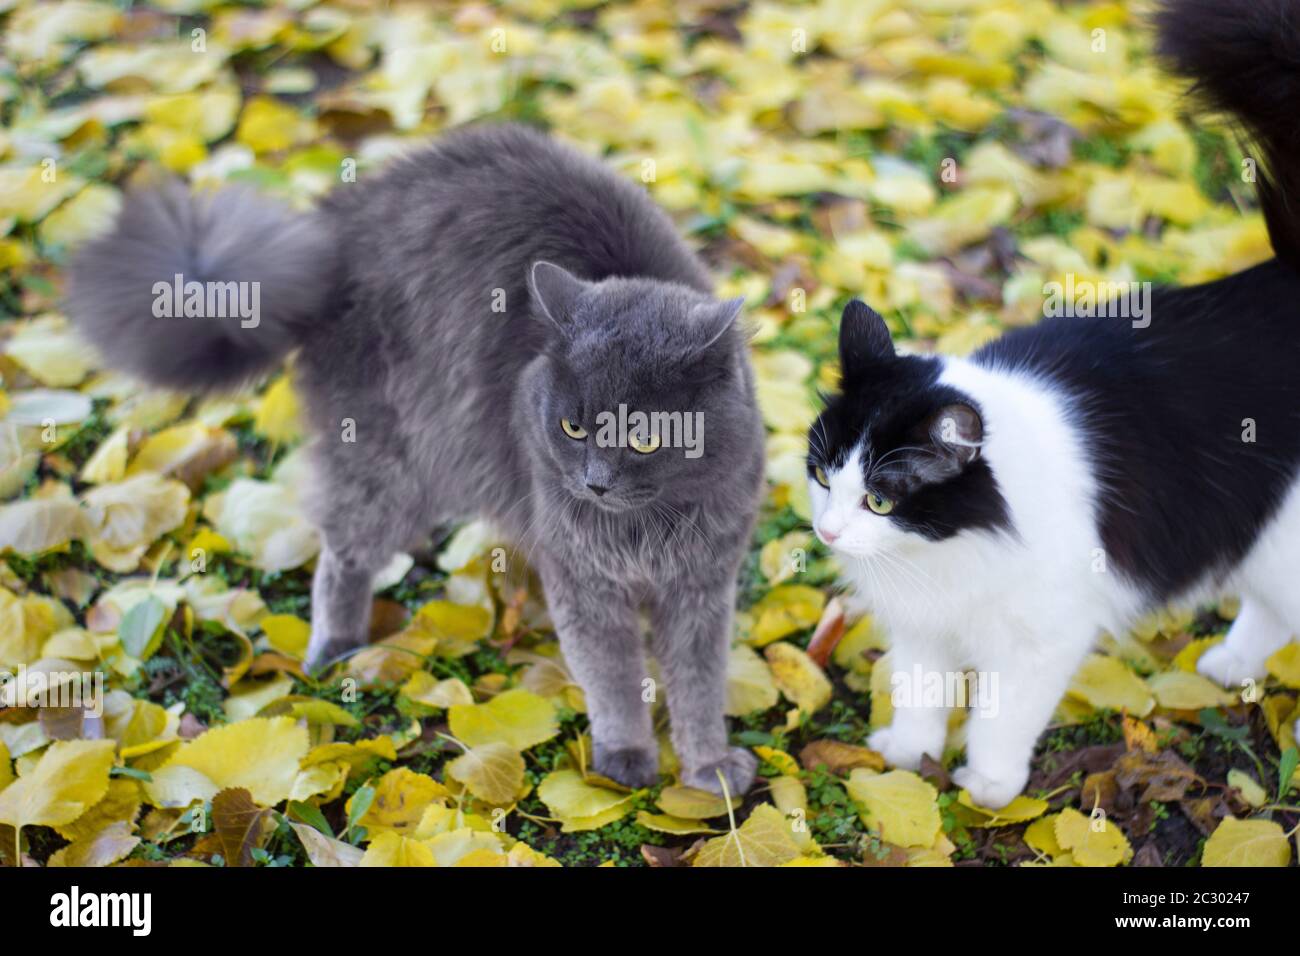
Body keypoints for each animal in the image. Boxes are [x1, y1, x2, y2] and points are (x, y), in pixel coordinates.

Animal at [65, 125, 764, 790]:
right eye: (571, 425)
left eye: (644, 436)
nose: (594, 483)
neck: (647, 531)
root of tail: (328, 243)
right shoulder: (584, 581)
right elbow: (613, 680)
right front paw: (625, 759)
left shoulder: (705, 582)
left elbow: (699, 685)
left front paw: (707, 771)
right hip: (383, 460)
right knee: (342, 554)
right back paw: (335, 649)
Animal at [806, 0, 1294, 811]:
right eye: (821, 478)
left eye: (880, 500)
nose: (828, 532)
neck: (947, 548)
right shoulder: (921, 625)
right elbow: (920, 692)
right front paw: (909, 761)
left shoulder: (1043, 634)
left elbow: (1003, 716)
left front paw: (987, 787)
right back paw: (1228, 666)